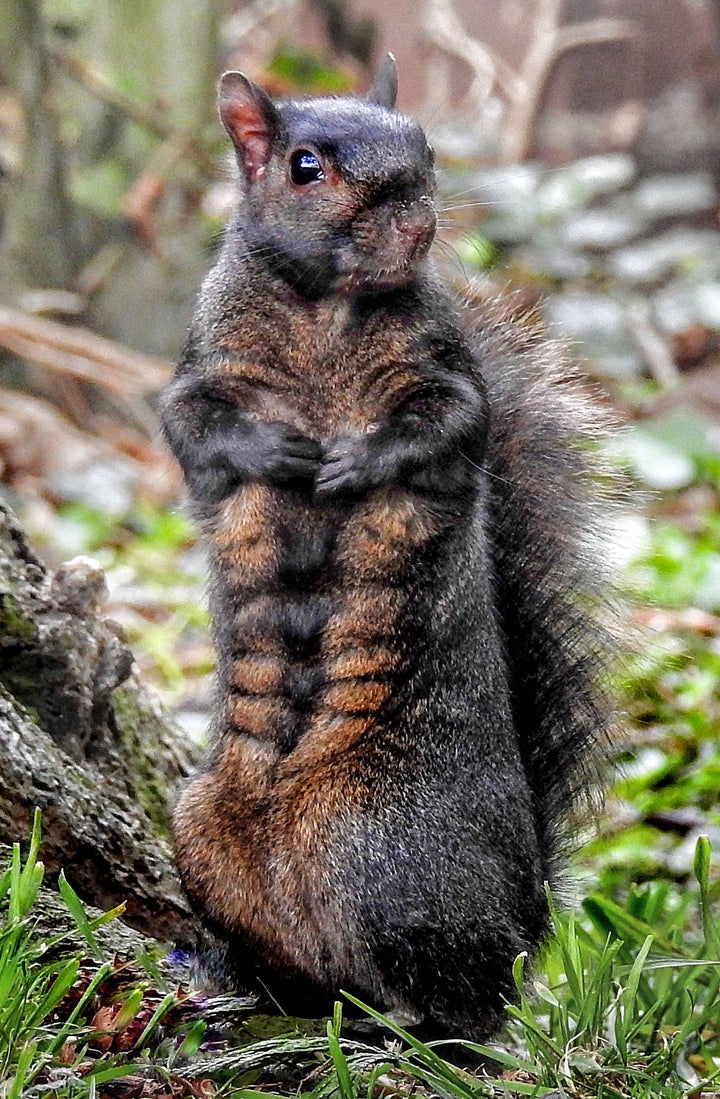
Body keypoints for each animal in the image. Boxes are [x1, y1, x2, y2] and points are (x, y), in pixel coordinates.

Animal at [160, 55, 610, 1041]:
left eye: (426, 151)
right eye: (304, 166)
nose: (418, 219)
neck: (327, 310)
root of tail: (528, 918)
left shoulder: (446, 377)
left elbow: (445, 425)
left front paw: (353, 459)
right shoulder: (201, 368)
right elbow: (192, 424)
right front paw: (279, 451)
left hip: (377, 847)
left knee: (463, 1002)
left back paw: (397, 1028)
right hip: (204, 832)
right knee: (302, 967)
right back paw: (236, 978)